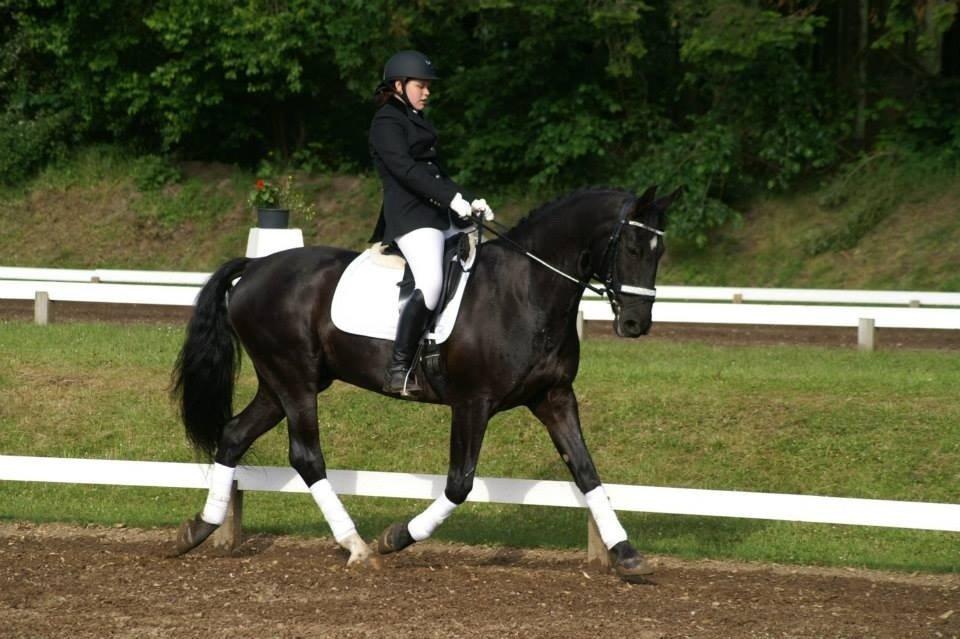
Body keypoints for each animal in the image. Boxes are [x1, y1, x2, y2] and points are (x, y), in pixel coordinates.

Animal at [171, 185, 677, 582]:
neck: (526, 289)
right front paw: (396, 537)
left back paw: (198, 529)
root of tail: (256, 268)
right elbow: (459, 484)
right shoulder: (473, 402)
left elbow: (587, 472)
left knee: (234, 435)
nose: (636, 324)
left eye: (660, 252)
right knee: (306, 456)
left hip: (279, 384)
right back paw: (358, 547)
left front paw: (627, 555)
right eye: (632, 247)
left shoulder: (553, 397)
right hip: (294, 380)